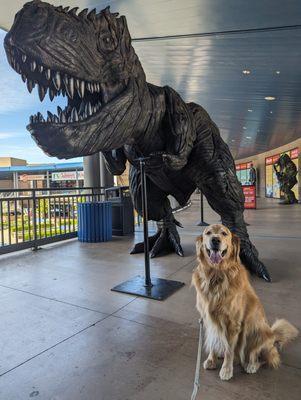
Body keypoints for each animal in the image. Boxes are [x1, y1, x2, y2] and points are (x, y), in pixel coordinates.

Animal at [191, 225, 296, 382]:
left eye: (224, 233)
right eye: (208, 233)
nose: (215, 240)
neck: (216, 275)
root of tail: (272, 335)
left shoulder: (233, 324)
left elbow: (229, 350)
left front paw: (226, 370)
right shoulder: (208, 319)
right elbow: (213, 341)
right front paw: (211, 359)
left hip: (254, 331)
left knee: (260, 356)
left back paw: (251, 365)